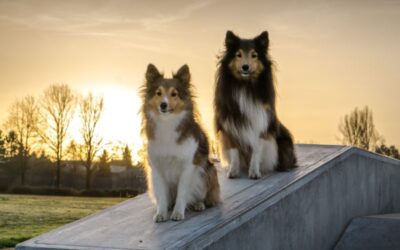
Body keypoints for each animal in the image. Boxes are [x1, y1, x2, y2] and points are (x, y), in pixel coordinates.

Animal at [141, 63, 222, 222]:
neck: (167, 123)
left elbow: (182, 193)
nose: (163, 105)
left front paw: (178, 213)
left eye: (174, 94)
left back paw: (198, 204)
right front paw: (161, 213)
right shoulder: (157, 169)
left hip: (206, 172)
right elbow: (162, 196)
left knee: (203, 196)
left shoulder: (187, 167)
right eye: (158, 93)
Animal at [216, 30, 296, 180]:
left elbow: (256, 149)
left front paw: (254, 172)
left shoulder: (260, 124)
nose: (245, 67)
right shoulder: (231, 125)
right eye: (238, 54)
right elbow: (234, 150)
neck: (245, 86)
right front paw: (233, 171)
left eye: (254, 55)